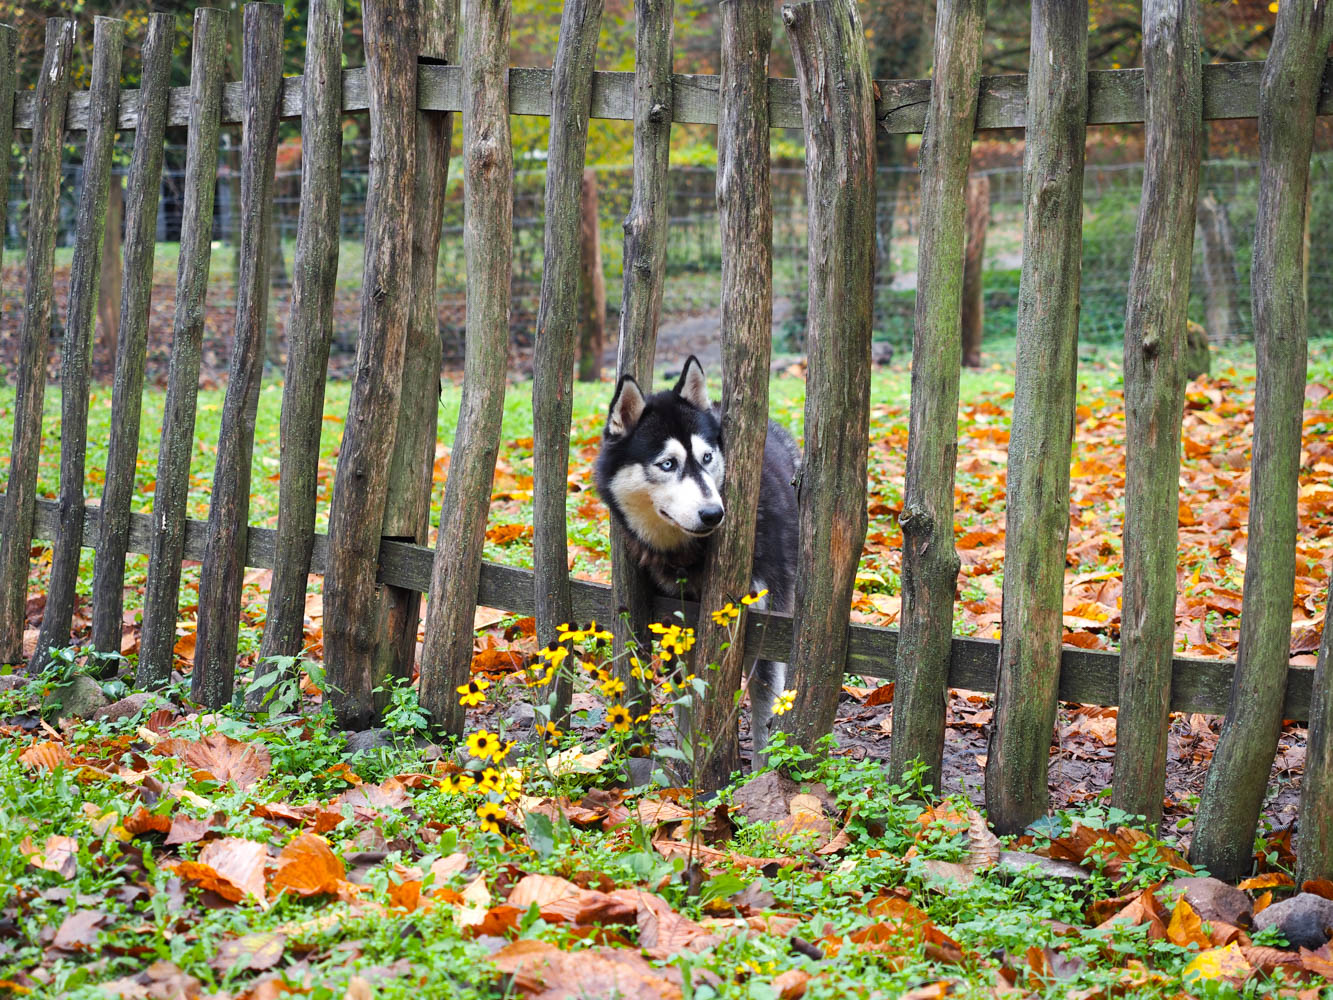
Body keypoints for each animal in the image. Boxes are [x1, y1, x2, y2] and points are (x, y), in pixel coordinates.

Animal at [597, 357, 799, 762]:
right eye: (667, 464)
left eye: (707, 458)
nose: (713, 514)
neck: (689, 553)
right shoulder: (676, 625)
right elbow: (689, 704)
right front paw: (690, 759)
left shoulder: (765, 624)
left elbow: (764, 710)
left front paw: (763, 767)